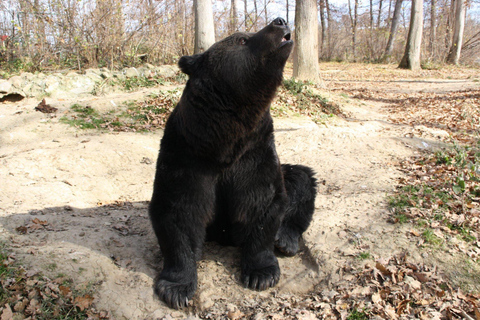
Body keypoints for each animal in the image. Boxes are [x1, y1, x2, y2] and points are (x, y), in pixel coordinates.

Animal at [148, 18, 316, 310]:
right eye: (242, 39)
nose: (280, 21)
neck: (224, 141)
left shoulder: (255, 150)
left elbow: (261, 201)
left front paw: (260, 274)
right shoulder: (186, 152)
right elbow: (178, 210)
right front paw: (176, 288)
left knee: (302, 179)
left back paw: (285, 239)